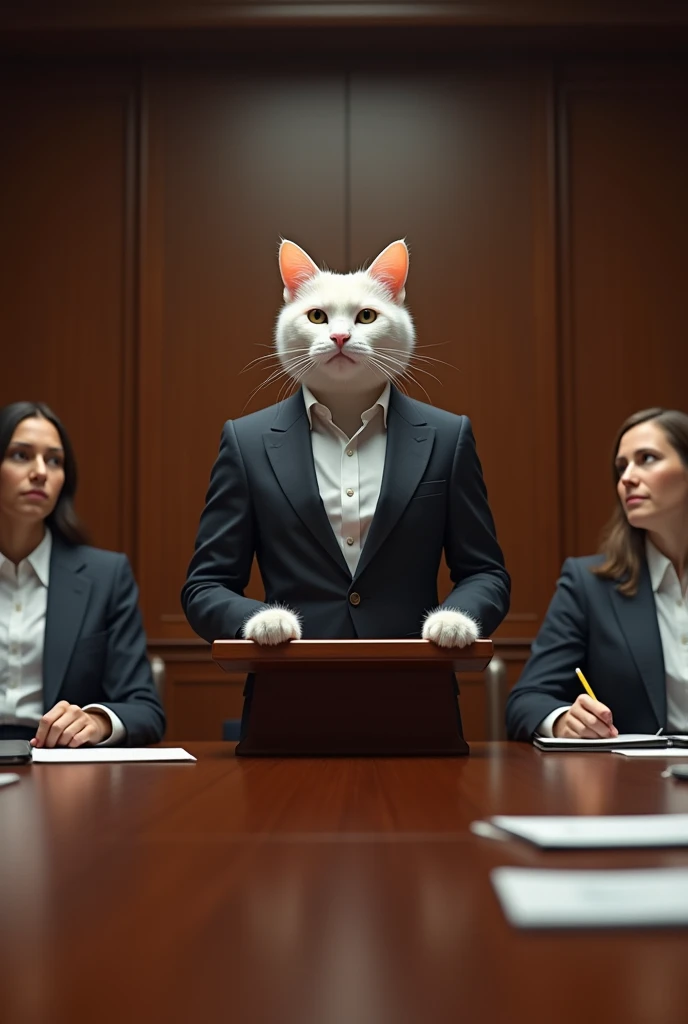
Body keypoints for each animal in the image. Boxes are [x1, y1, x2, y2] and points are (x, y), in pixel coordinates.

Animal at [244, 237, 481, 647]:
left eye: (366, 317)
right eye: (317, 317)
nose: (340, 337)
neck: (347, 412)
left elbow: (482, 569)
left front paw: (451, 624)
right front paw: (272, 621)